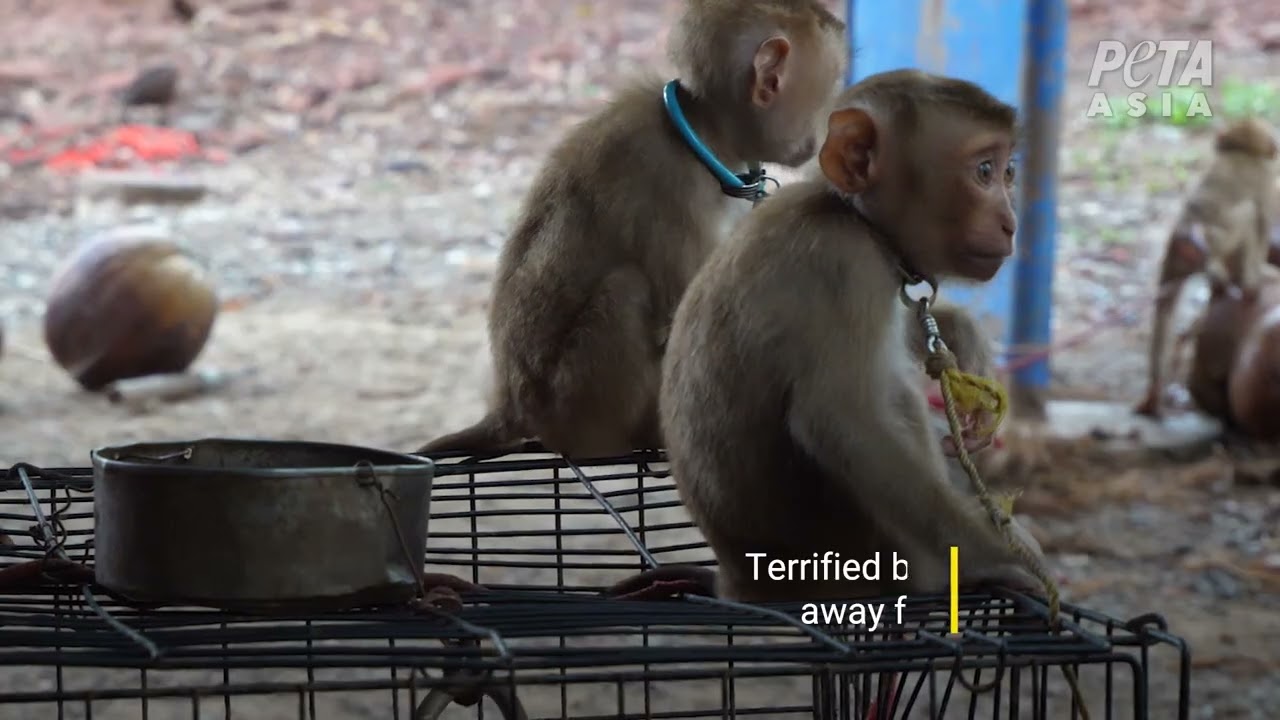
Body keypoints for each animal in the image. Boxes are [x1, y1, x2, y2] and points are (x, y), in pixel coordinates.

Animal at [417, 0, 848, 459]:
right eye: (825, 93)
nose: (820, 137)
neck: (701, 135)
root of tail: (511, 408)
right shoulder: (672, 184)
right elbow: (683, 320)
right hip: (576, 402)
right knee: (626, 290)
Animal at [654, 69, 1045, 604]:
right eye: (984, 170)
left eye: (1009, 173)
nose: (1010, 223)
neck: (848, 213)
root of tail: (736, 582)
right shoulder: (844, 264)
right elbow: (845, 424)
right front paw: (997, 556)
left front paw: (964, 337)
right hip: (870, 559)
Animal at [1135, 116, 1279, 418]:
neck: (1241, 149)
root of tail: (1185, 232)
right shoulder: (1265, 182)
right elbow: (1260, 226)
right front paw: (1254, 282)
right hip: (1216, 239)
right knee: (1247, 217)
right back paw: (1236, 282)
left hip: (1176, 257)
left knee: (1164, 311)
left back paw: (1154, 392)